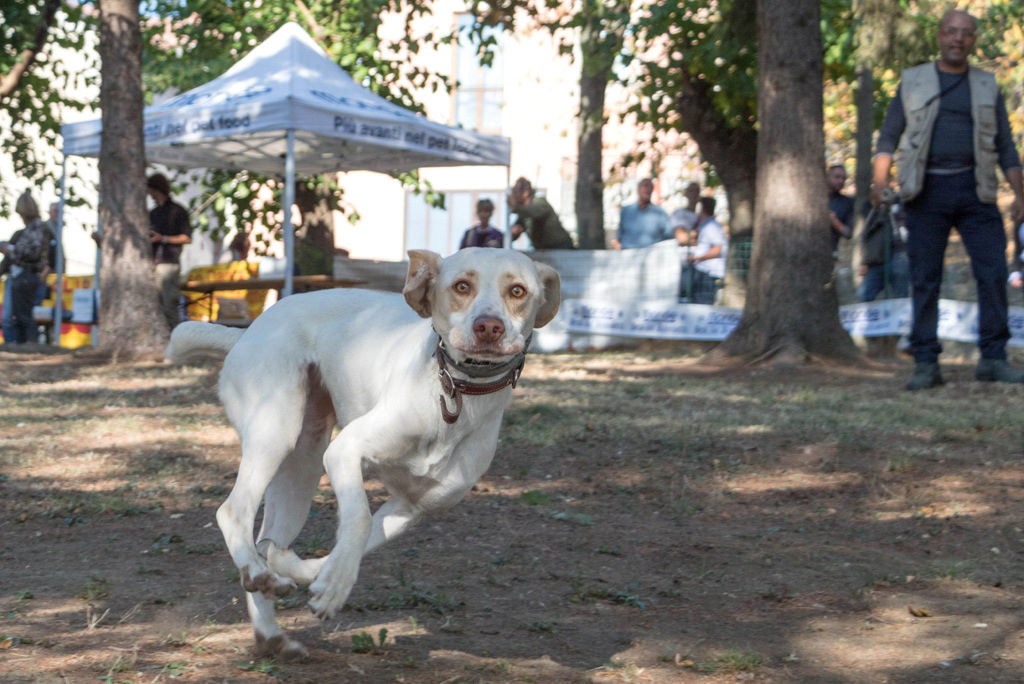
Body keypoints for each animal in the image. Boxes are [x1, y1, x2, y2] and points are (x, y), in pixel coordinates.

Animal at [166, 248, 561, 659]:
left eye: (517, 290)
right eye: (462, 286)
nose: (489, 327)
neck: (454, 394)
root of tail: (248, 331)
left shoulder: (412, 505)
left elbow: (343, 544)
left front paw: (306, 571)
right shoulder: (346, 451)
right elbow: (358, 520)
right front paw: (333, 588)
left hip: (302, 466)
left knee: (264, 537)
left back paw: (270, 624)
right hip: (275, 432)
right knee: (232, 512)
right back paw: (258, 573)